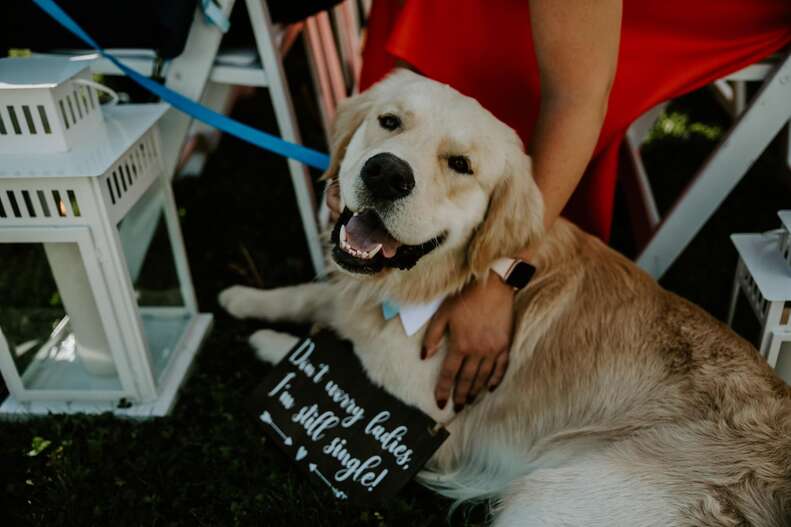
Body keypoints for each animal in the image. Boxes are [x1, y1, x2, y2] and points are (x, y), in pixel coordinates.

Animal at [218, 71, 791, 527]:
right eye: (389, 121)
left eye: (460, 164)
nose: (385, 172)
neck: (436, 286)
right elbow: (313, 297)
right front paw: (245, 298)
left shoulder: (420, 406)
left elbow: (342, 347)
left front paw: (269, 344)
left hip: (551, 495)